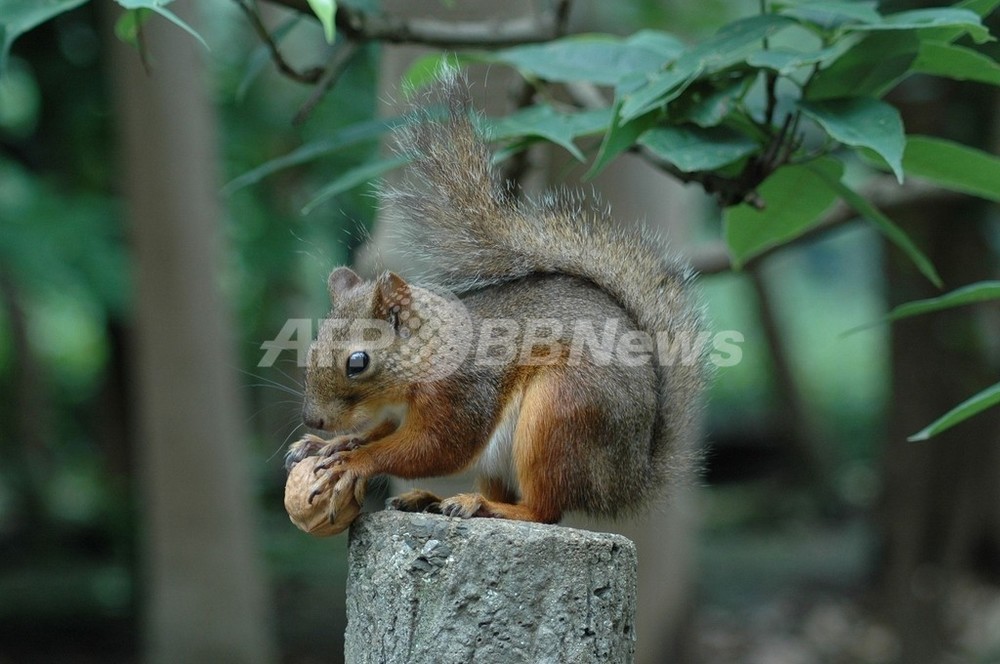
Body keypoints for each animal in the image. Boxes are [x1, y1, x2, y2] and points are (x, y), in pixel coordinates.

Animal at [284, 74, 704, 524]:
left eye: (357, 362)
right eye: (312, 347)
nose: (314, 419)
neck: (426, 356)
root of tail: (628, 480)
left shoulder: (461, 395)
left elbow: (434, 449)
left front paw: (353, 461)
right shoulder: (397, 414)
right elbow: (378, 434)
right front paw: (328, 445)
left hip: (559, 413)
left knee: (544, 510)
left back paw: (485, 505)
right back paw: (432, 500)